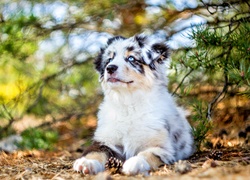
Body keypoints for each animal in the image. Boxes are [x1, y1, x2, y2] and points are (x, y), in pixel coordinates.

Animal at [73, 34, 194, 175]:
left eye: (131, 58)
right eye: (109, 59)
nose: (110, 68)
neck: (128, 103)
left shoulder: (162, 147)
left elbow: (148, 154)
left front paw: (135, 163)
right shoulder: (106, 140)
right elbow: (95, 152)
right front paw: (87, 163)